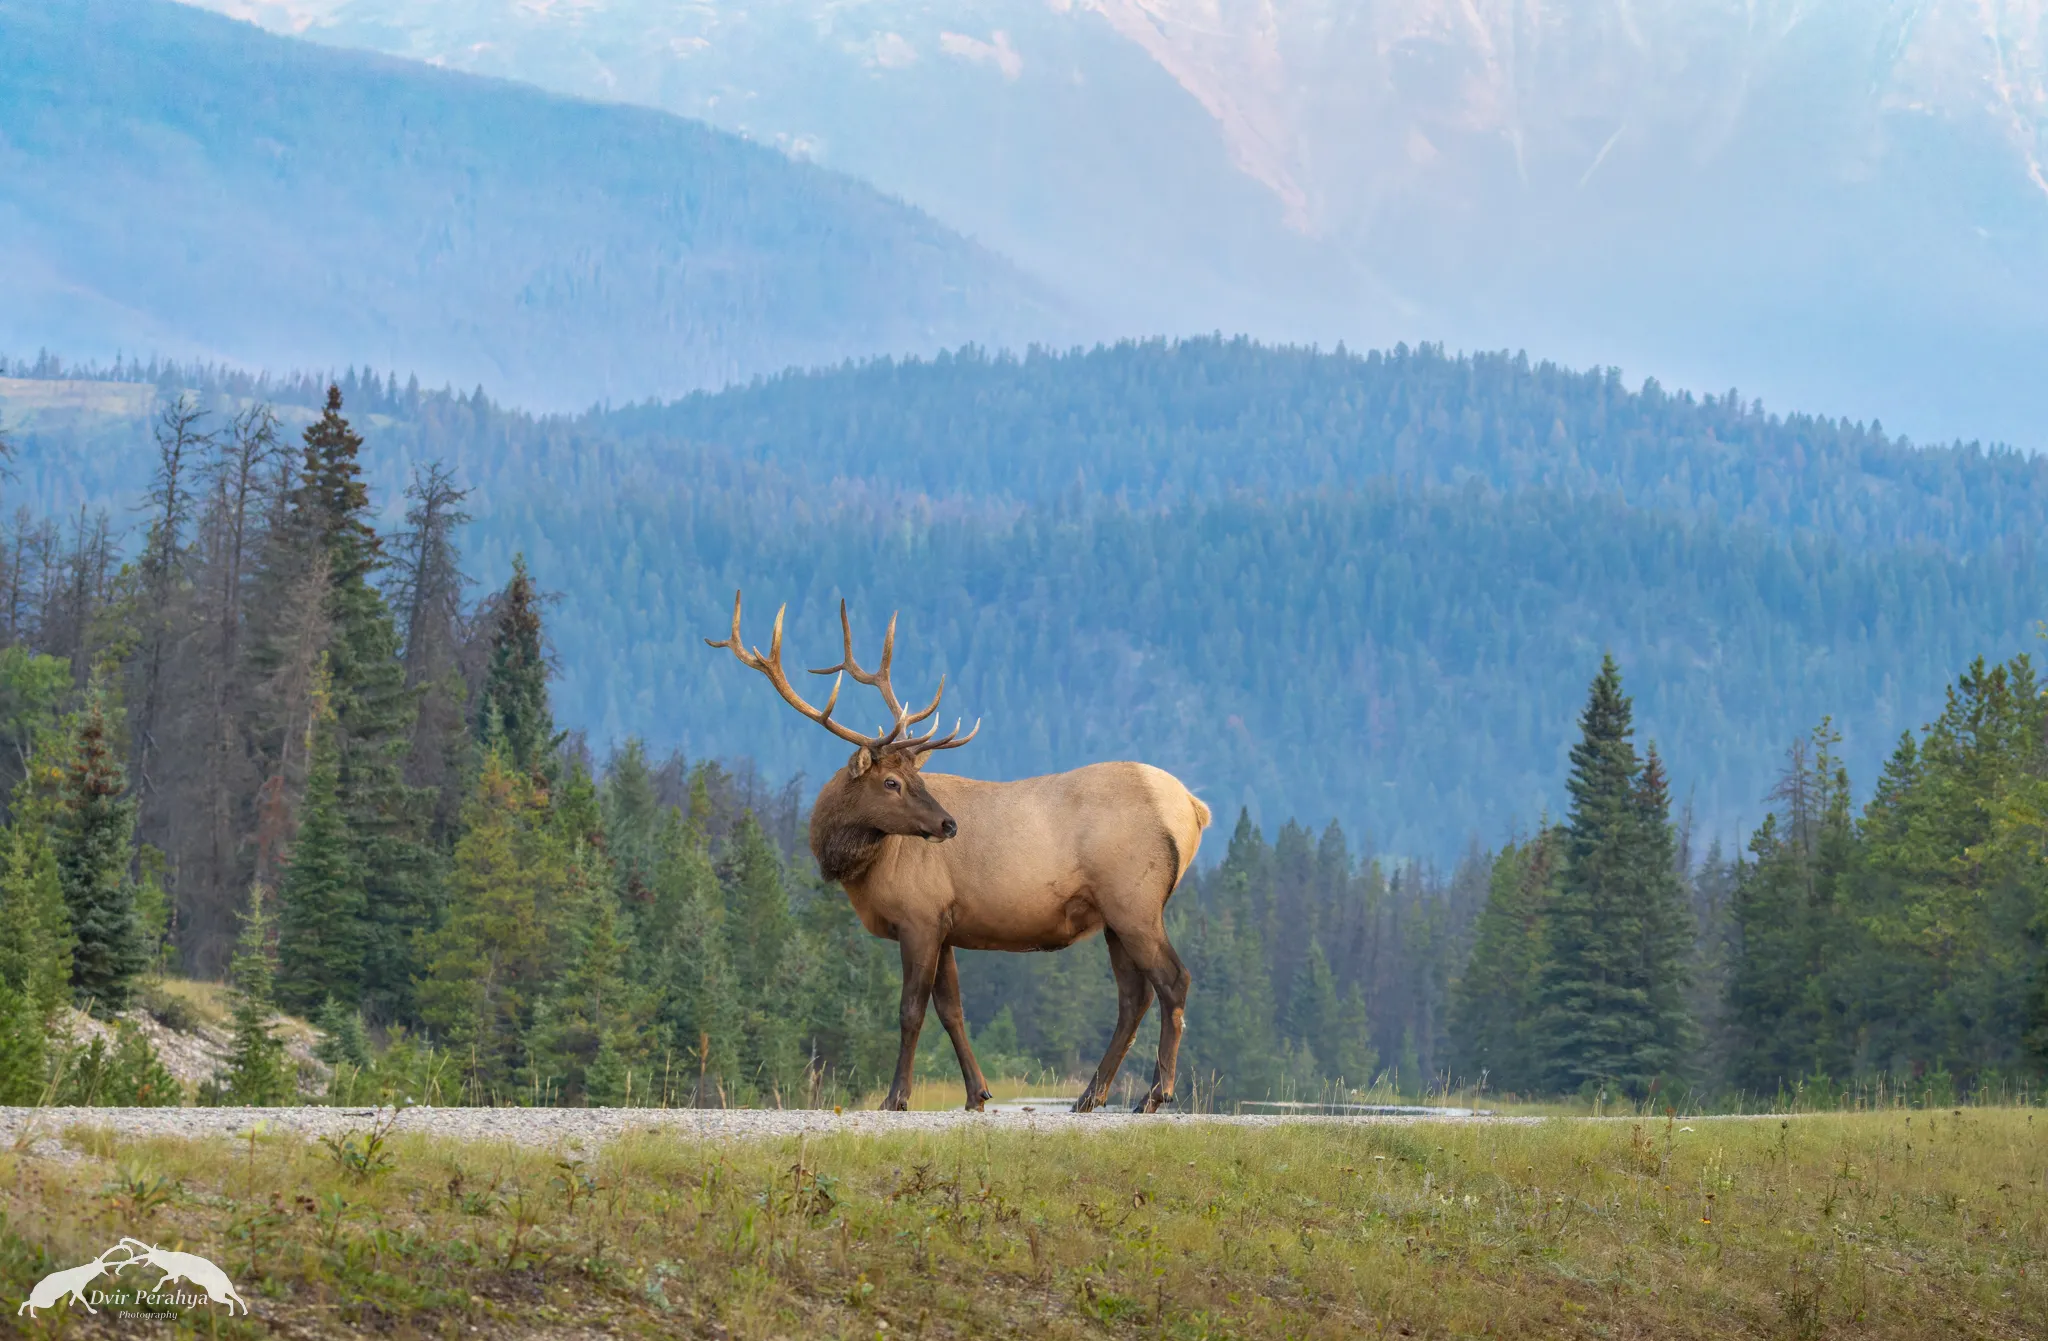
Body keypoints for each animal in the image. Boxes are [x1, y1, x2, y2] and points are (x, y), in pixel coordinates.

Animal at [708, 592, 1211, 1114]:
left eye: (912, 778)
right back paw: (1091, 1095)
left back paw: (1155, 1094)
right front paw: (977, 1094)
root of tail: (1194, 809)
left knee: (1173, 980)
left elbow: (911, 1011)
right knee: (1134, 996)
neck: (860, 871)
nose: (948, 824)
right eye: (893, 781)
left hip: (1134, 899)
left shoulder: (919, 916)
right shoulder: (945, 926)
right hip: (1113, 915)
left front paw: (896, 1097)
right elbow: (952, 1011)